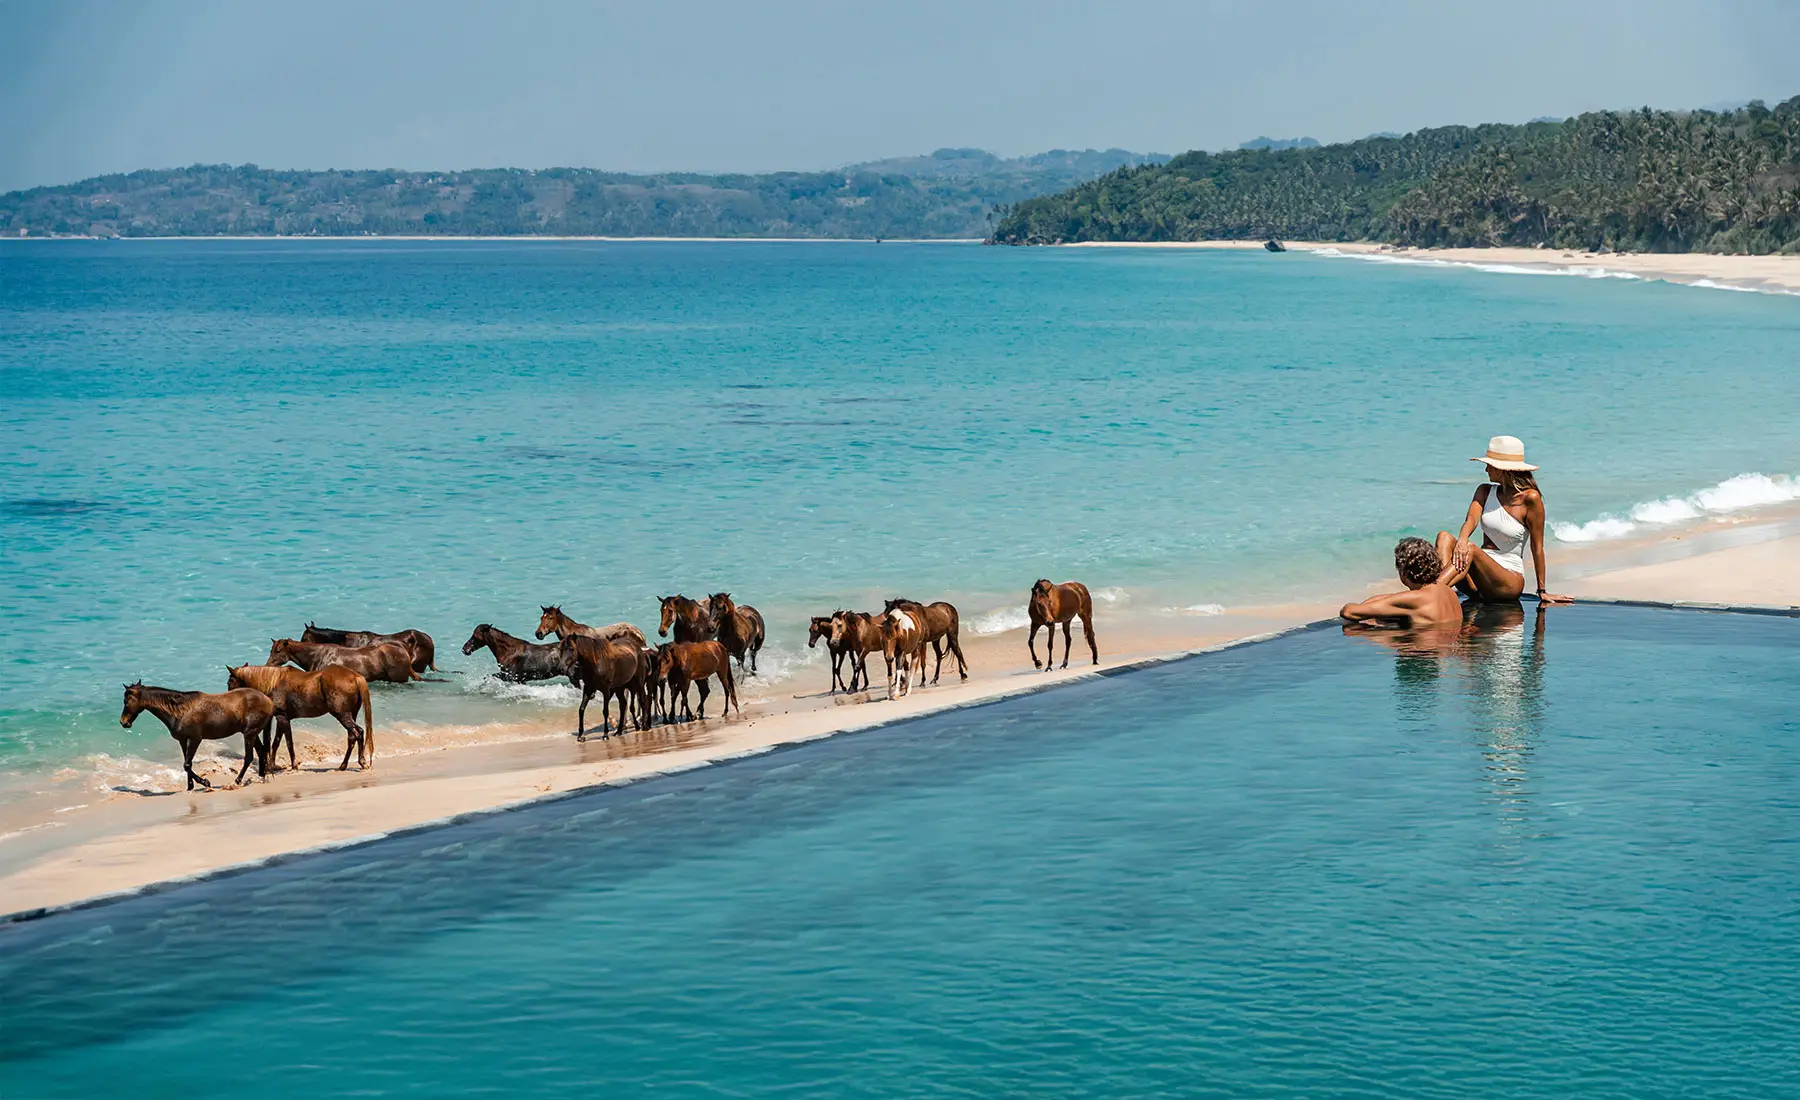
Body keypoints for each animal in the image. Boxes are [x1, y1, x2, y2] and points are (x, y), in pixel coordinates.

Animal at [119, 681, 274, 790]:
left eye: (126, 701)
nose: (123, 722)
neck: (180, 711)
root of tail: (268, 701)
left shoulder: (195, 739)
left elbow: (187, 764)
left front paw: (205, 782)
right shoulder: (183, 740)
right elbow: (187, 763)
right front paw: (190, 787)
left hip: (249, 734)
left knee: (249, 757)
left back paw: (236, 781)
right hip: (253, 734)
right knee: (261, 751)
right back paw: (261, 777)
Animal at [227, 663, 373, 772]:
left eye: (230, 682)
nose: (231, 701)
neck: (274, 682)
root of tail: (354, 676)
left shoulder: (282, 718)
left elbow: (288, 742)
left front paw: (293, 765)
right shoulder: (282, 718)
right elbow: (276, 743)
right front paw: (273, 766)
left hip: (342, 715)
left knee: (358, 733)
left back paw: (361, 762)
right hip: (350, 714)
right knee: (352, 737)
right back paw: (344, 765)